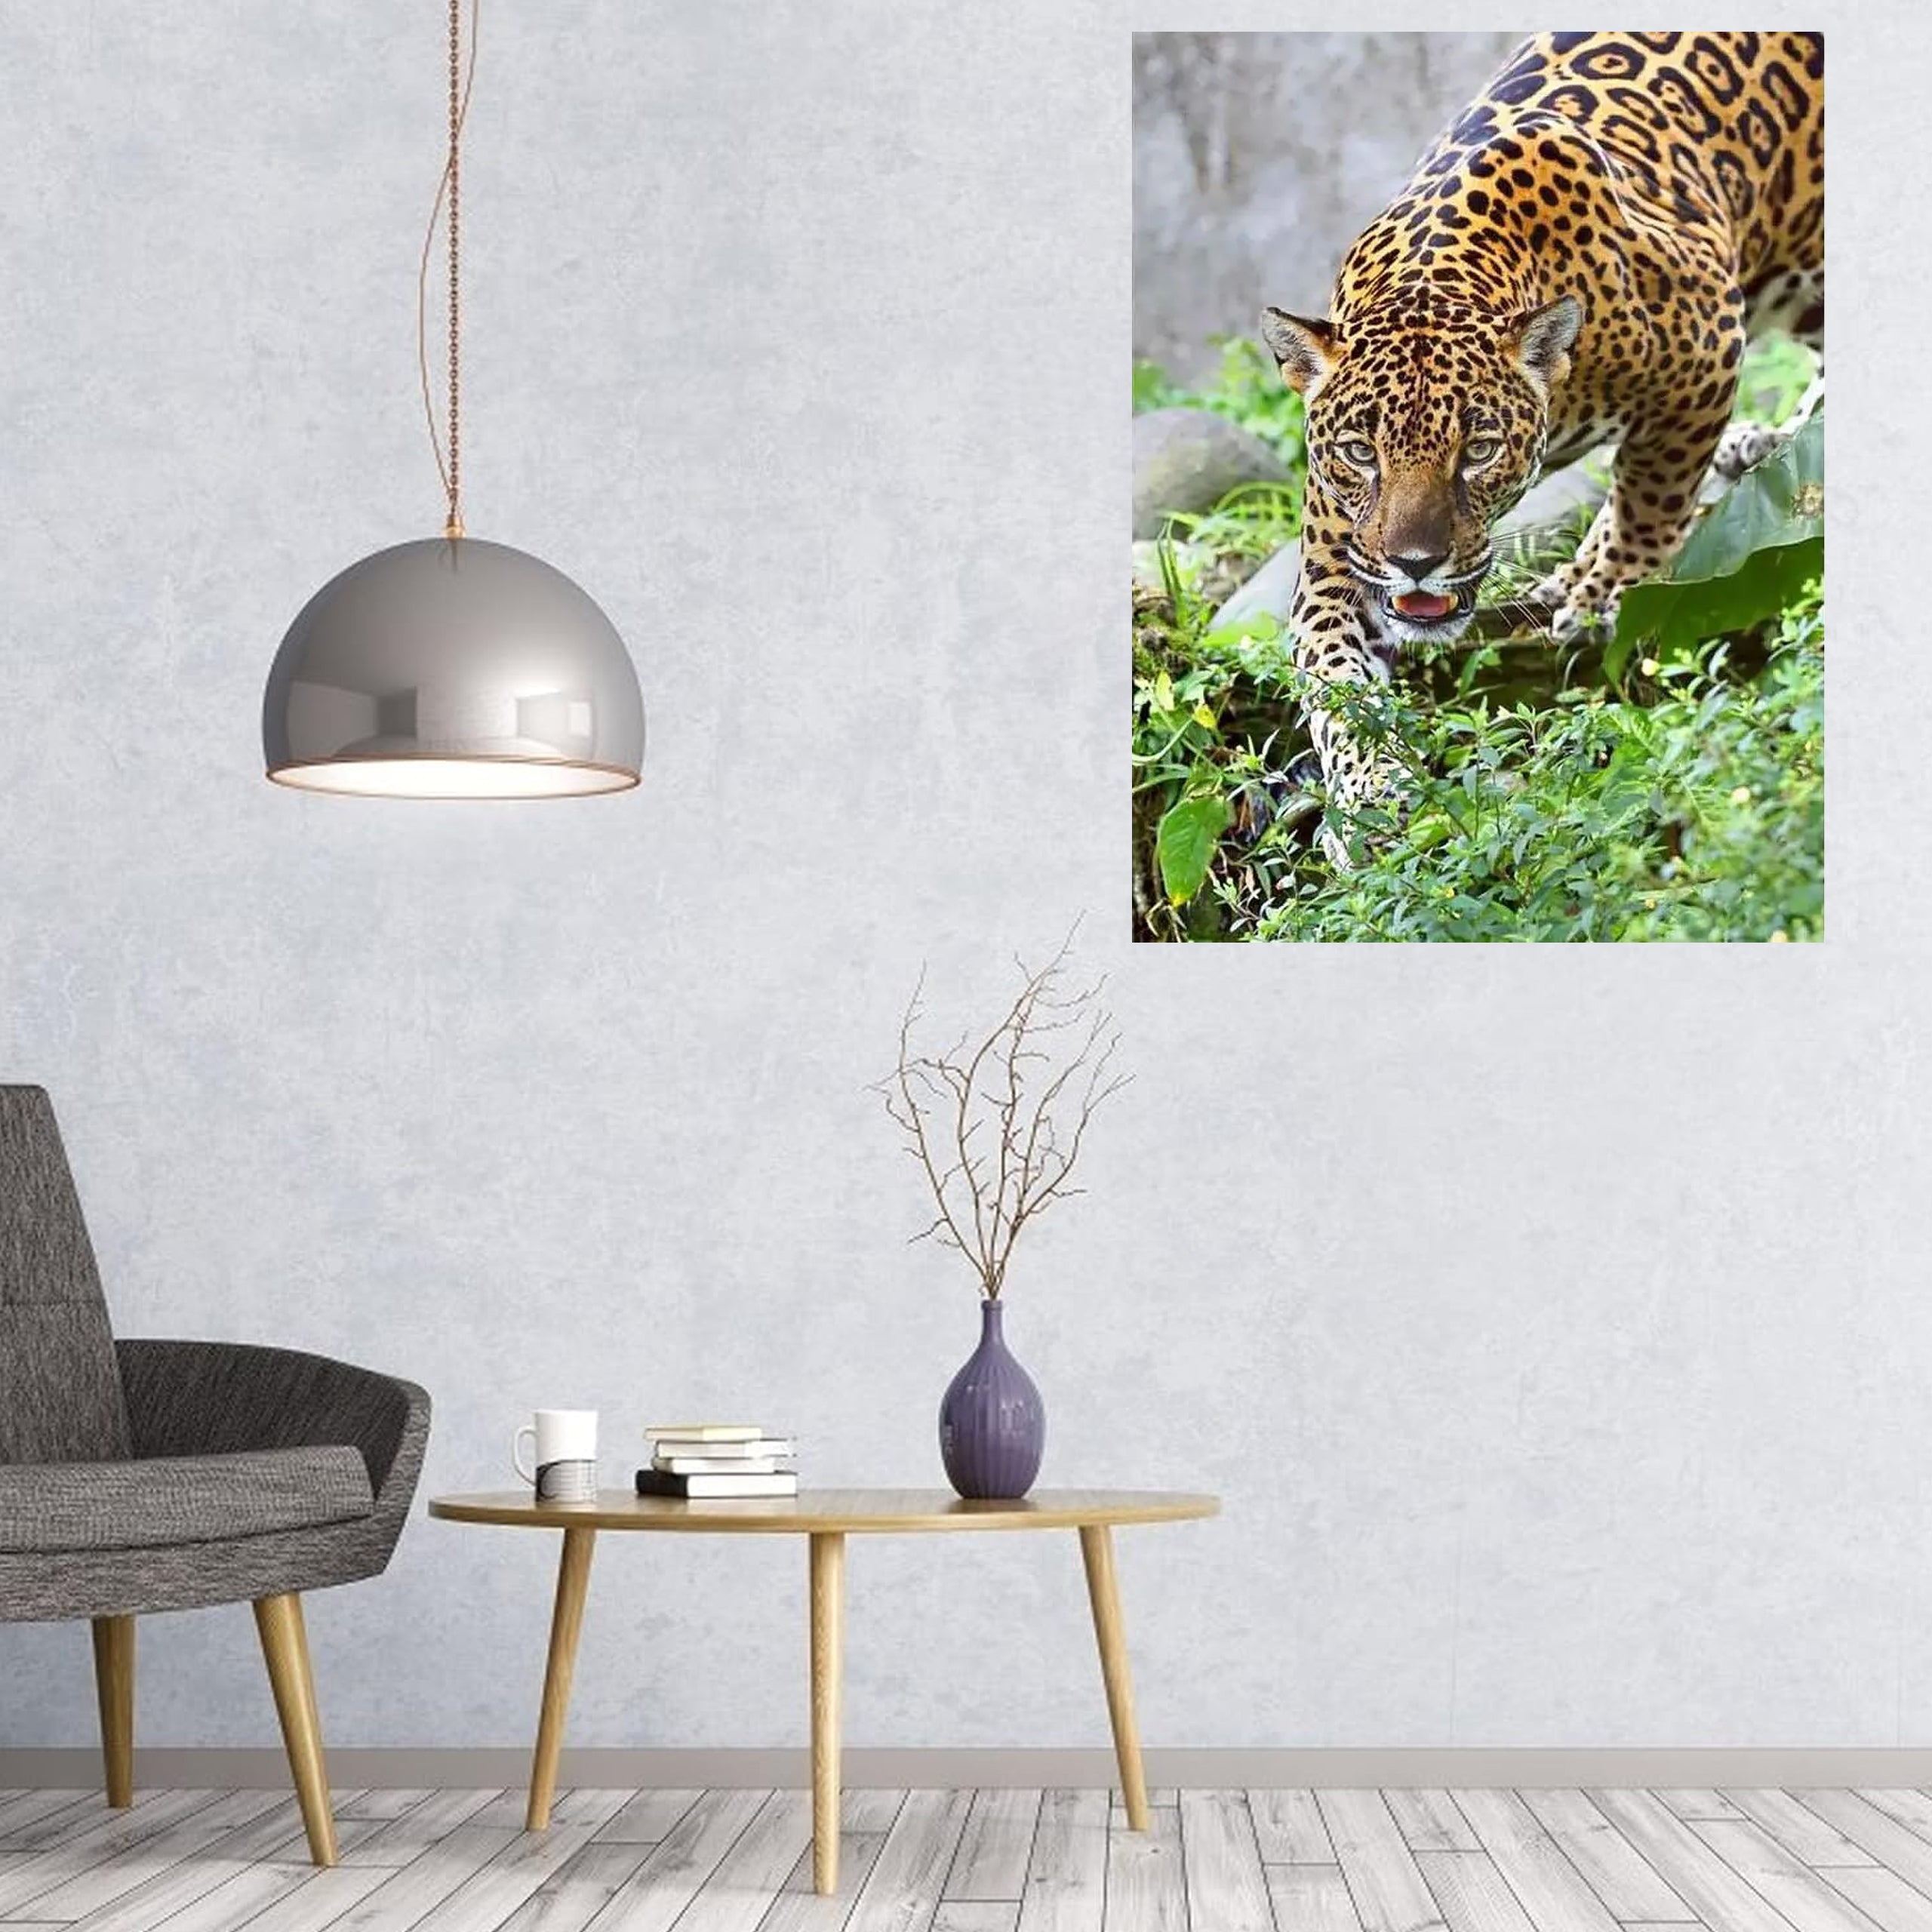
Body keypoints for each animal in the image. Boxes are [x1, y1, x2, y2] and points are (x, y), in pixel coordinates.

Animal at [1258, 30, 1823, 859]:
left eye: (1478, 449)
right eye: (1361, 453)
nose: (1415, 562)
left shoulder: (1709, 343)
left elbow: (1649, 499)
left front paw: (1597, 596)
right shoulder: (1340, 554)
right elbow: (1334, 676)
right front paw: (1367, 798)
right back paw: (1768, 443)